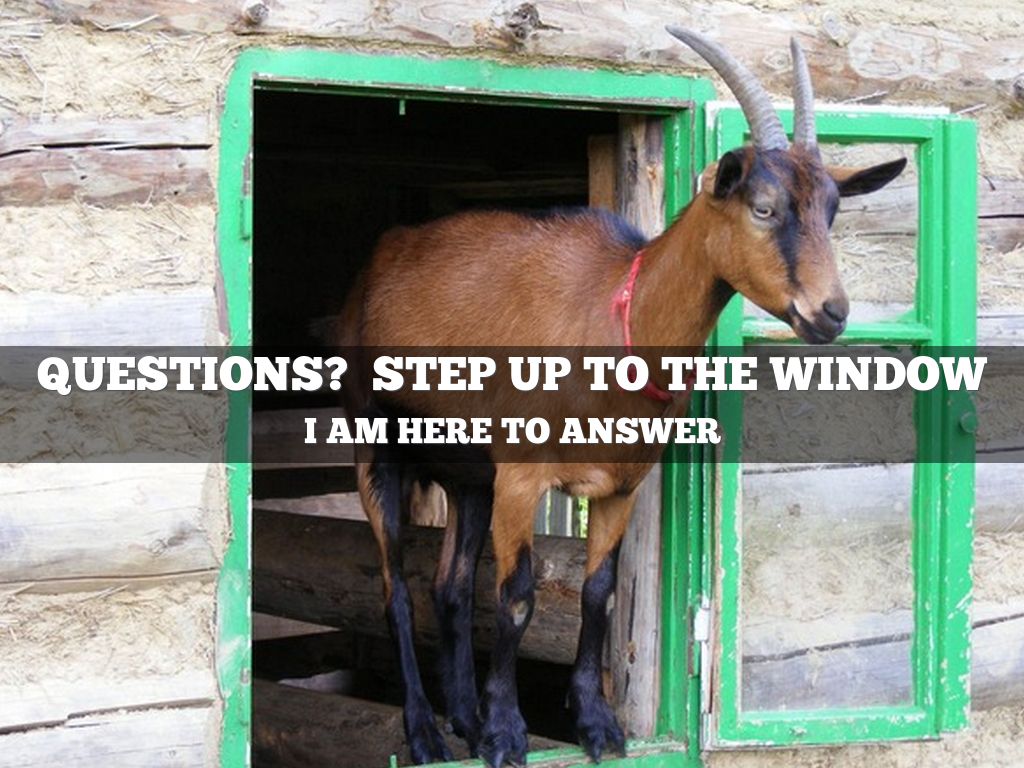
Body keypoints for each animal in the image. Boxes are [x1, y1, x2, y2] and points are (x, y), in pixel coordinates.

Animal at [336, 28, 906, 767]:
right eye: (763, 208)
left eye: (832, 212)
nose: (831, 313)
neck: (618, 320)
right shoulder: (521, 478)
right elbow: (516, 598)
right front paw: (507, 734)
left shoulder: (621, 485)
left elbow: (599, 595)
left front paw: (596, 723)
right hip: (376, 446)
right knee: (397, 590)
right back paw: (426, 731)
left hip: (467, 476)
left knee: (450, 588)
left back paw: (461, 717)